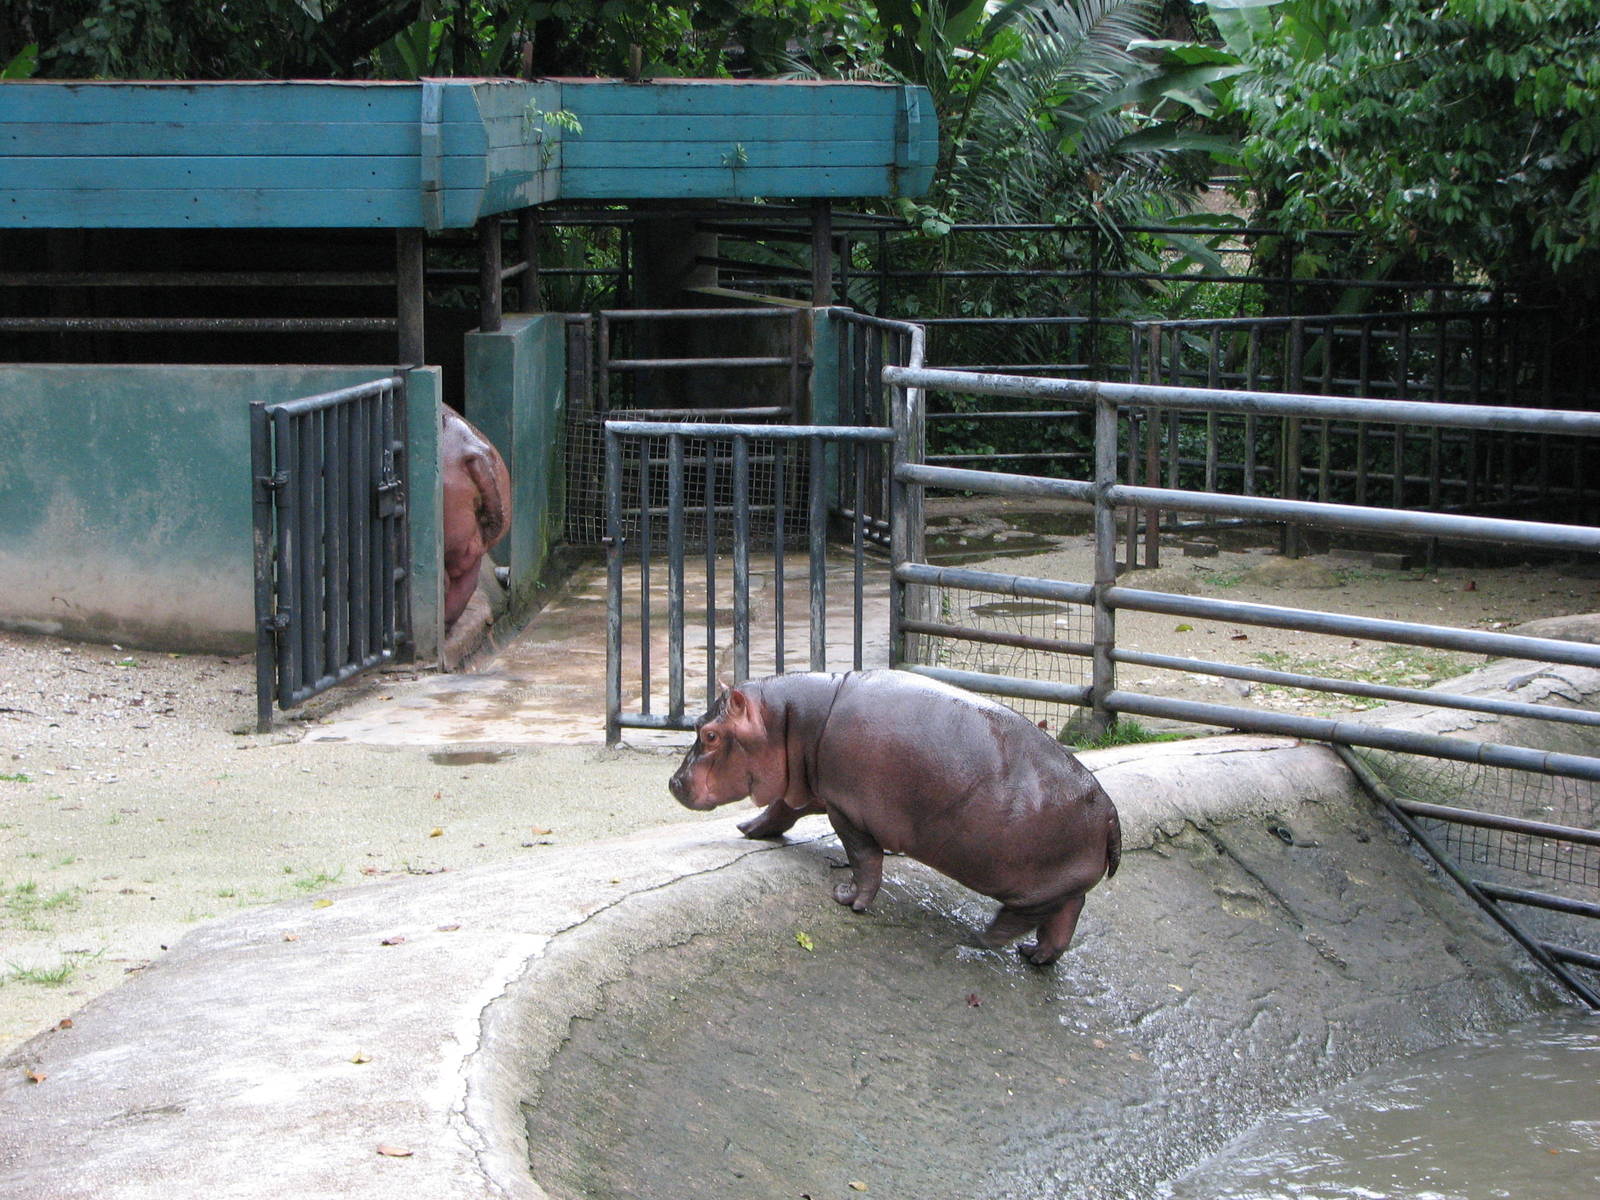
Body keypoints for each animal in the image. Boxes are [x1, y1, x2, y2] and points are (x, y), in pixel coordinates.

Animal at [669, 670, 1121, 965]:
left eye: (709, 734)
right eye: (697, 723)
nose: (674, 783)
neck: (789, 720)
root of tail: (1110, 812)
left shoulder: (846, 809)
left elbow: (865, 859)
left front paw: (848, 899)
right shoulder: (808, 786)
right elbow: (780, 811)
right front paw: (748, 829)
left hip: (1032, 889)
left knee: (1024, 916)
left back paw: (984, 937)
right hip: (1065, 886)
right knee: (1064, 920)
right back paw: (1034, 956)